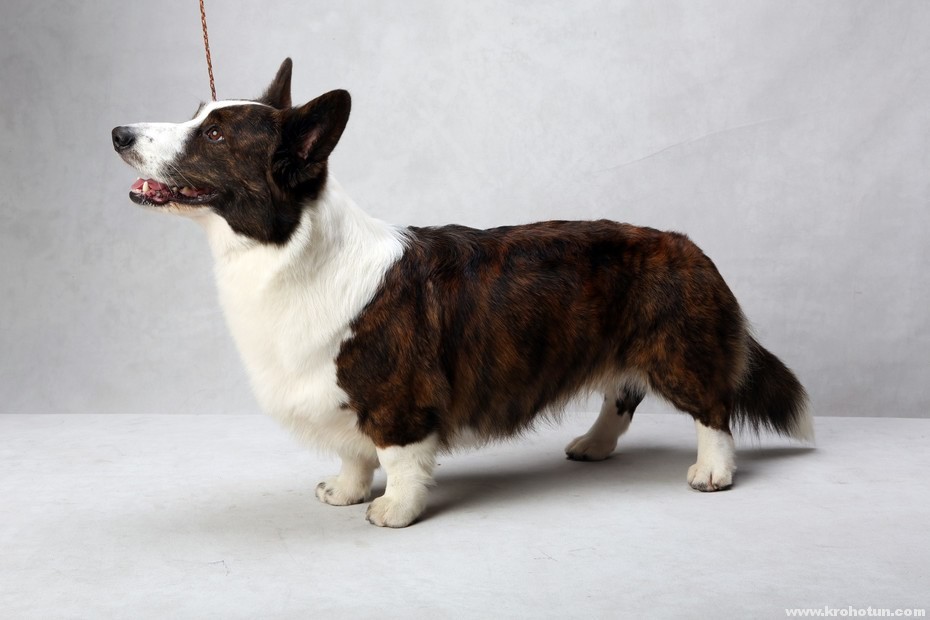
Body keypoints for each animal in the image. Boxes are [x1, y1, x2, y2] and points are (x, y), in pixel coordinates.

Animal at [112, 58, 808, 524]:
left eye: (215, 135)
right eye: (196, 116)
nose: (118, 133)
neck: (283, 246)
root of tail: (689, 248)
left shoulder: (394, 398)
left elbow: (398, 458)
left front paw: (392, 510)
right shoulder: (342, 399)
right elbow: (354, 455)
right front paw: (344, 492)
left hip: (678, 352)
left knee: (712, 408)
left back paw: (712, 472)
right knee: (621, 395)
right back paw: (591, 446)